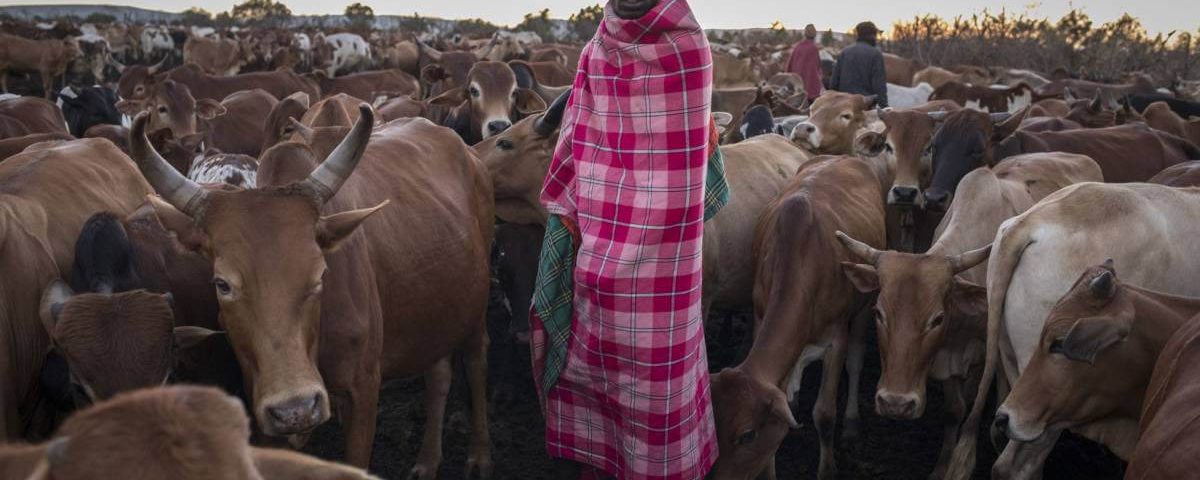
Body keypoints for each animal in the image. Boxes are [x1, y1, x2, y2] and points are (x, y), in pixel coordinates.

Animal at [128, 105, 496, 476]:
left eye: (320, 274)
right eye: (222, 284)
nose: (297, 409)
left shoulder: (363, 389)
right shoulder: (262, 402)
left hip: (476, 310)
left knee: (477, 363)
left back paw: (479, 455)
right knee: (438, 373)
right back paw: (428, 460)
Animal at [709, 155, 888, 480]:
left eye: (747, 435)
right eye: (712, 428)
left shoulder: (836, 339)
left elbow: (825, 414)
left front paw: (828, 468)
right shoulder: (760, 316)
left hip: (865, 299)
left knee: (856, 360)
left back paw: (852, 423)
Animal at [835, 152, 1101, 478]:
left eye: (937, 319)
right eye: (878, 313)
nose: (895, 403)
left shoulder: (978, 354)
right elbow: (954, 411)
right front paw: (941, 465)